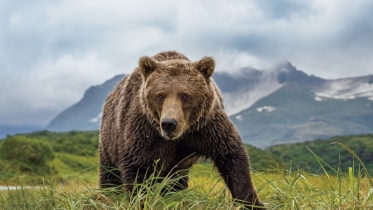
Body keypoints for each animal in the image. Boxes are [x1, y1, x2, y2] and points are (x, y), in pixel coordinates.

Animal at [99, 50, 264, 208]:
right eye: (160, 95)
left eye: (185, 95)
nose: (169, 123)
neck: (182, 134)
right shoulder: (145, 131)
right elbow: (138, 168)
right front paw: (141, 201)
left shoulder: (207, 126)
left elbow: (231, 156)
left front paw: (252, 202)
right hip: (109, 141)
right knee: (110, 174)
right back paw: (108, 196)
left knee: (176, 181)